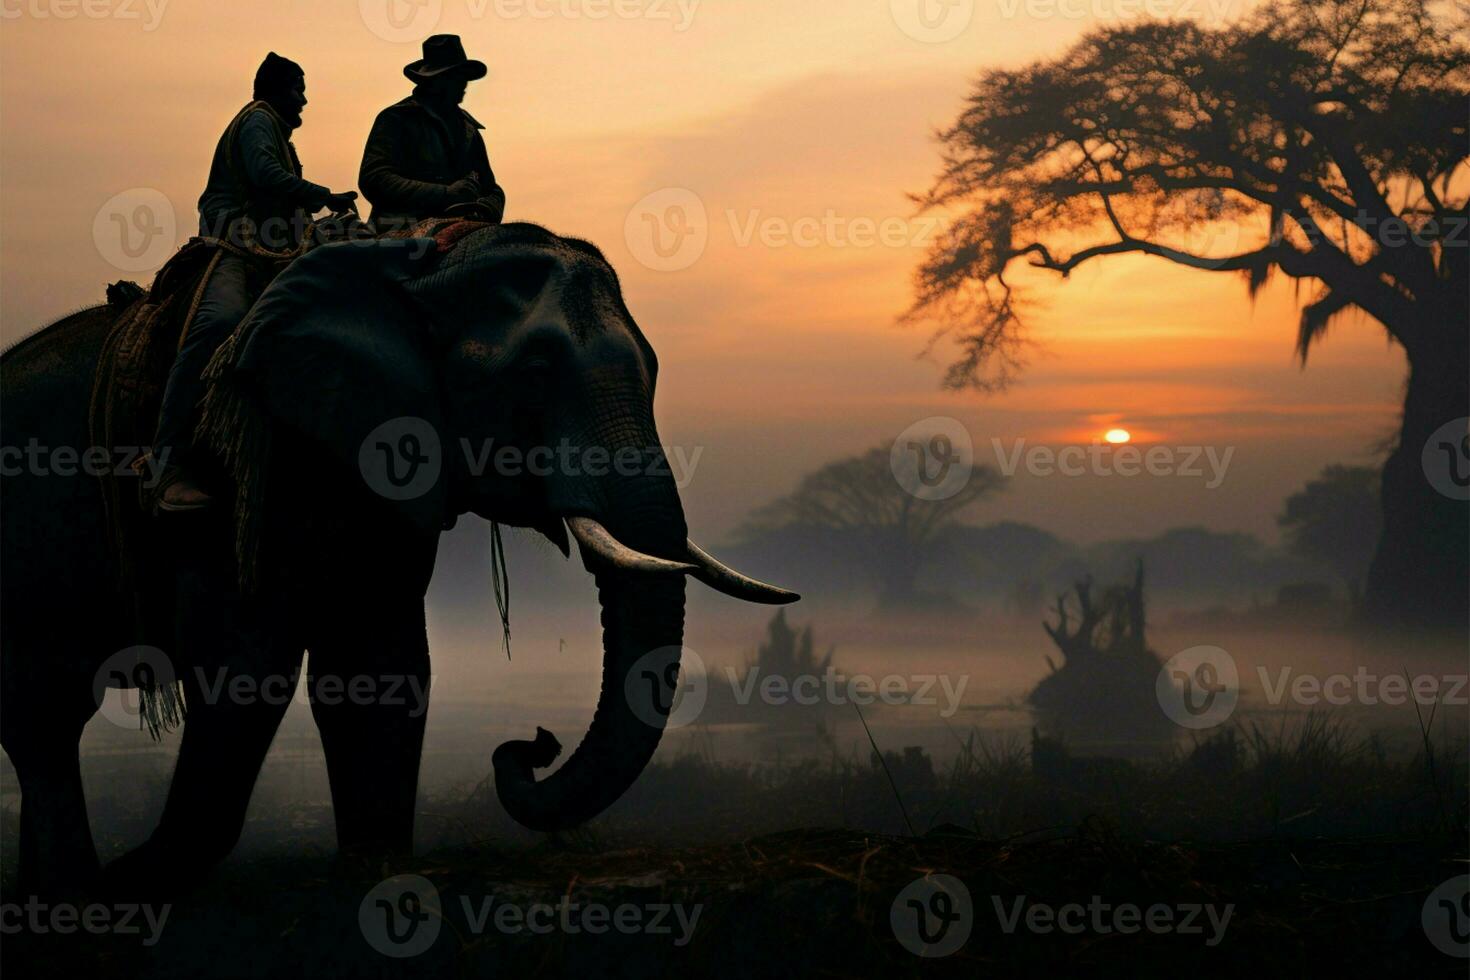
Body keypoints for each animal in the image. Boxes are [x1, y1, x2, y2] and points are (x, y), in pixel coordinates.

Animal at [0, 221, 799, 899]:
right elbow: (244, 670)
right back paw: (75, 893)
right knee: (44, 715)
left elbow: (381, 663)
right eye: (535, 372)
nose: (534, 742)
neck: (419, 268)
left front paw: (374, 874)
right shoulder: (254, 475)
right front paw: (135, 885)